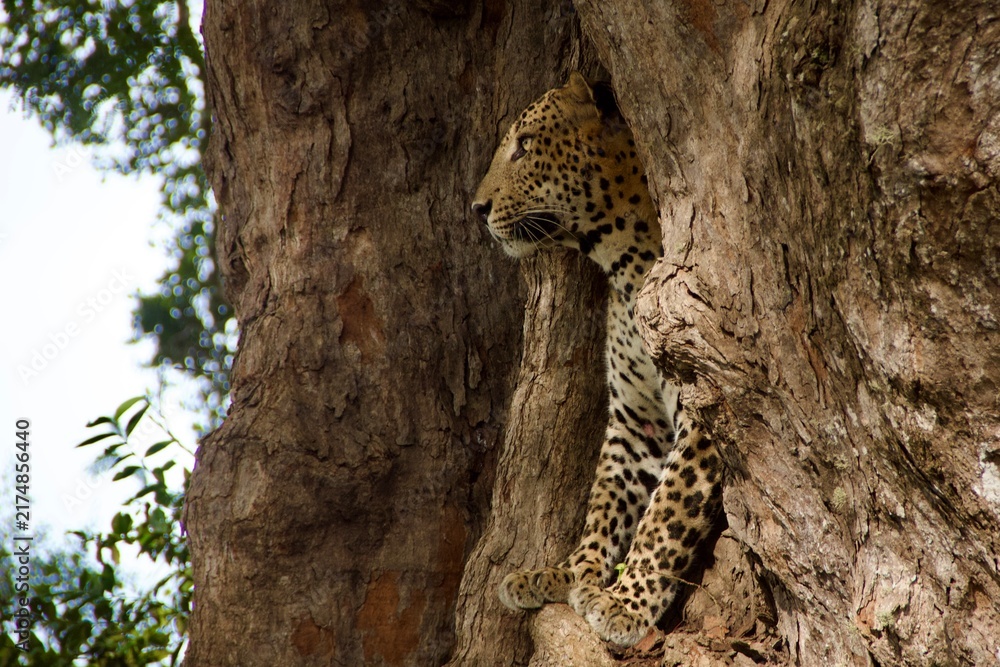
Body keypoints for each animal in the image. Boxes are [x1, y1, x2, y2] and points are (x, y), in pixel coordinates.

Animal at [471, 72, 724, 647]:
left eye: (525, 145)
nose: (476, 208)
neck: (623, 266)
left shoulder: (701, 417)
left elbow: (665, 513)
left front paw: (625, 603)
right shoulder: (637, 420)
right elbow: (605, 501)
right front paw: (569, 574)